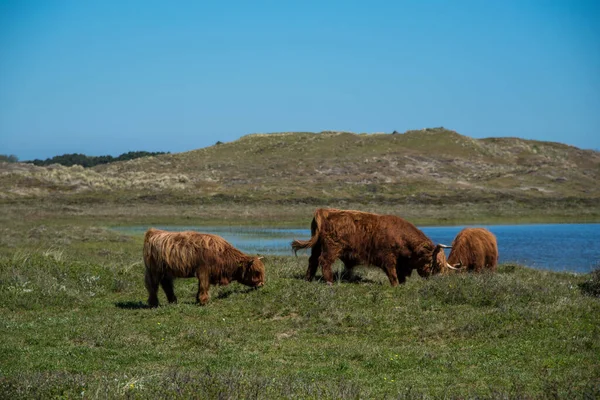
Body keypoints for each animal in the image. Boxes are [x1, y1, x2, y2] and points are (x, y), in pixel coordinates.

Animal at [290, 208, 454, 286]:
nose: (435, 277)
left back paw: (308, 279)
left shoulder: (401, 263)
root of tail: (324, 211)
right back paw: (329, 282)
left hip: (317, 246)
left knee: (312, 261)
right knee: (324, 261)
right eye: (435, 263)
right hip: (331, 248)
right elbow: (392, 273)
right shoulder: (387, 258)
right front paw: (395, 286)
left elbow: (400, 275)